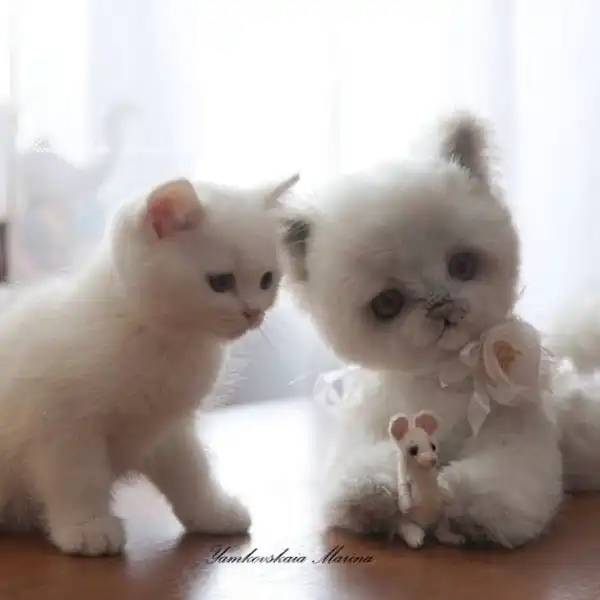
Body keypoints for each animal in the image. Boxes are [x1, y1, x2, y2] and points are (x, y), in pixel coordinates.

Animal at [0, 172, 298, 556]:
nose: (253, 312)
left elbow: (192, 472)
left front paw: (212, 513)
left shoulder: (167, 428)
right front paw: (87, 526)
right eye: (221, 282)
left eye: (266, 279)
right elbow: (78, 478)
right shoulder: (60, 424)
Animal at [279, 113, 600, 548]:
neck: (440, 378)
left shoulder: (514, 429)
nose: (442, 305)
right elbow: (357, 475)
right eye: (388, 303)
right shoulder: (371, 425)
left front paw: (467, 507)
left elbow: (503, 480)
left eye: (462, 265)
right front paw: (373, 498)